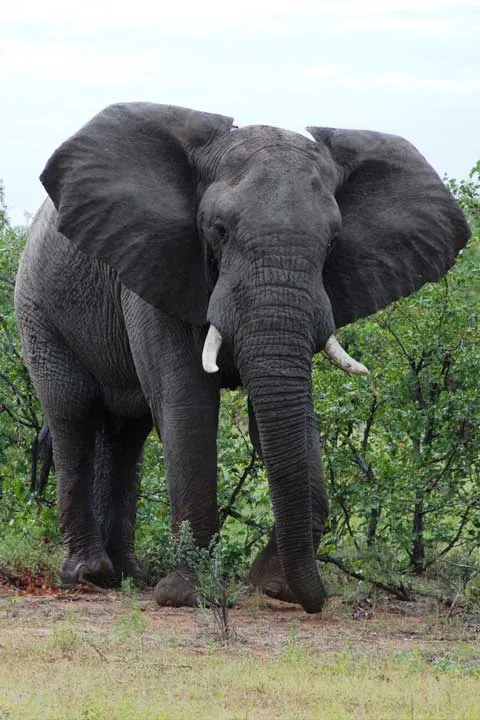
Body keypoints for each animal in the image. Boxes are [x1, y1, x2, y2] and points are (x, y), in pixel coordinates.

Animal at [14, 102, 470, 614]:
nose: (315, 600)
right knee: (73, 409)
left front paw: (272, 585)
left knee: (128, 430)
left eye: (333, 243)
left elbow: (285, 411)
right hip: (36, 306)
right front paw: (188, 596)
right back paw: (90, 576)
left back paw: (129, 575)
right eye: (218, 230)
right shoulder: (159, 262)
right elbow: (187, 402)